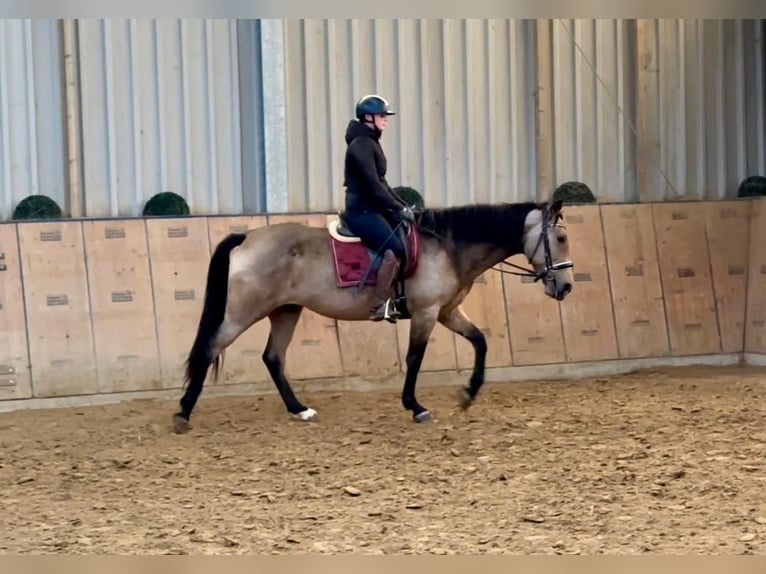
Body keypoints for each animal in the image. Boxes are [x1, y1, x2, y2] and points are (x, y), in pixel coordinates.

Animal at [171, 199, 572, 436]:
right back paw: (183, 414)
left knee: (273, 357)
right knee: (210, 349)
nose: (566, 286)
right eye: (561, 238)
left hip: (286, 310)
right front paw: (416, 407)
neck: (447, 245)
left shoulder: (446, 311)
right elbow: (414, 358)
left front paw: (469, 393)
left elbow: (480, 340)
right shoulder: (426, 312)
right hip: (245, 312)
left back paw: (300, 410)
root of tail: (247, 237)